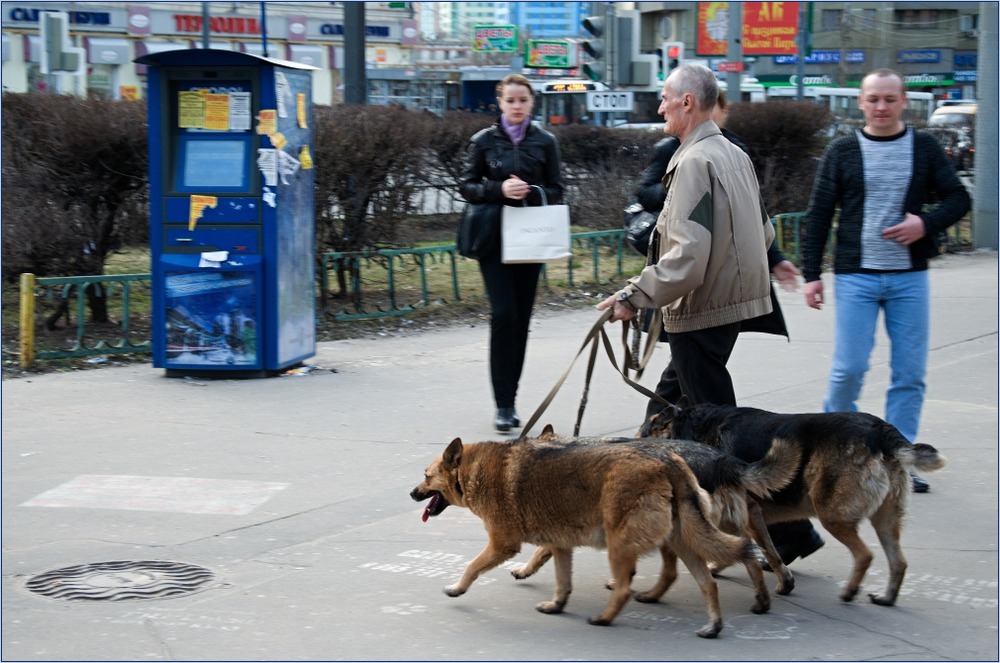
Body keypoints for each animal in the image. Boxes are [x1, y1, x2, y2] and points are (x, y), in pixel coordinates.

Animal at [410, 436, 752, 640]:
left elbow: (471, 567)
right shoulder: (561, 545)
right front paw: (557, 604)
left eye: (426, 476)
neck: (471, 471)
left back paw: (604, 617)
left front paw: (457, 588)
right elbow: (563, 581)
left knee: (625, 588)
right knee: (708, 581)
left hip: (621, 545)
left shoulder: (502, 545)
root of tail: (668, 461)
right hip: (684, 540)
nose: (412, 493)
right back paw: (714, 624)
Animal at [512, 428, 800, 616]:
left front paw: (526, 569)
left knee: (731, 555)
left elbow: (543, 551)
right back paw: (767, 595)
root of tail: (721, 461)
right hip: (719, 523)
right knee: (756, 553)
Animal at [644, 400, 948, 608]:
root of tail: (881, 431)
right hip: (885, 519)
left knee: (865, 555)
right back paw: (887, 598)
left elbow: (766, 550)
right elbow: (759, 549)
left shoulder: (749, 514)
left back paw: (849, 592)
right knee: (899, 562)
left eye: (644, 433)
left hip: (831, 514)